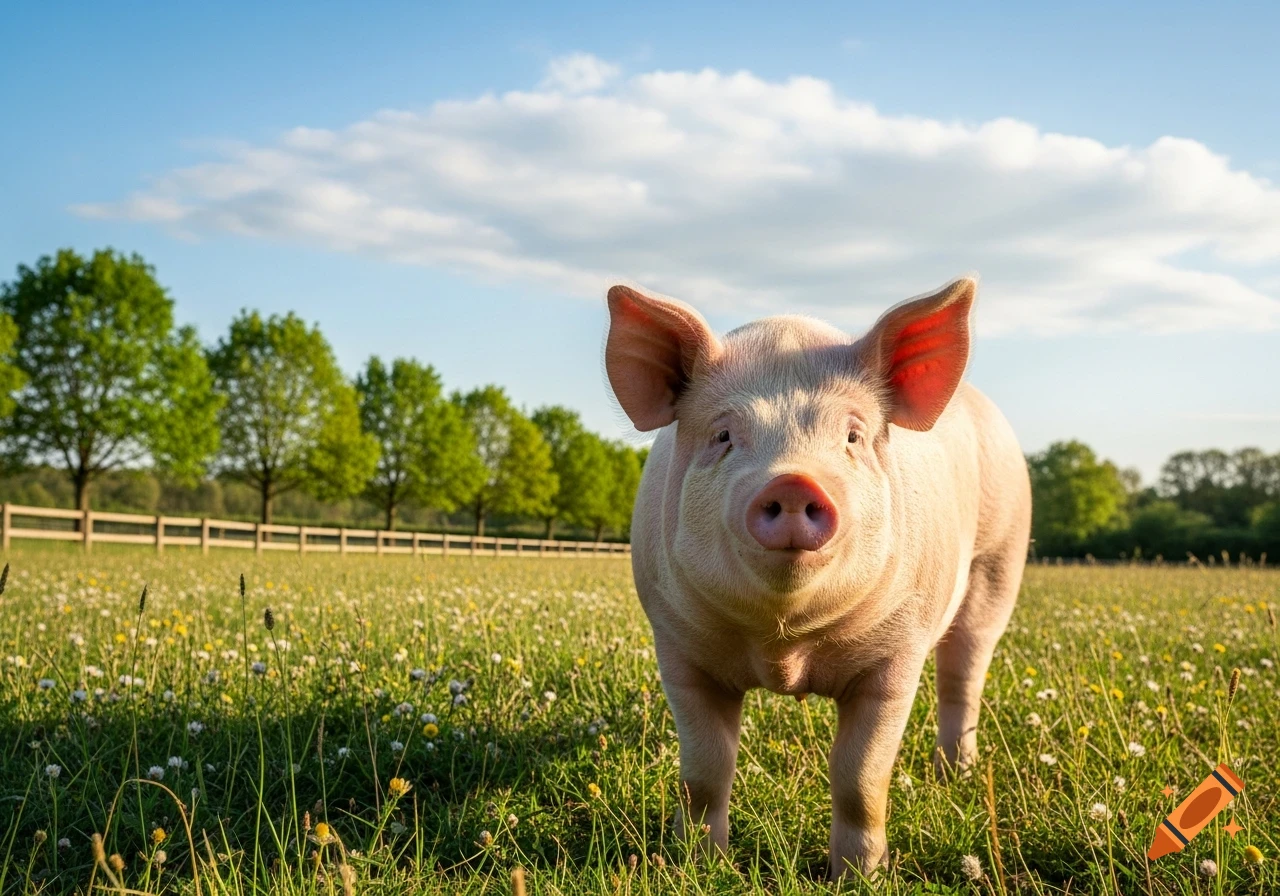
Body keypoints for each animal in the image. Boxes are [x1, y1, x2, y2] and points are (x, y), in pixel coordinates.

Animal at [603, 276, 1031, 879]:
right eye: (723, 435)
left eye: (852, 436)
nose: (792, 481)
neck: (785, 646)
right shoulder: (679, 646)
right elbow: (705, 772)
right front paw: (701, 866)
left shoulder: (894, 659)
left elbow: (861, 777)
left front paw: (859, 877)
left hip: (1000, 559)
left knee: (963, 674)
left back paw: (955, 776)